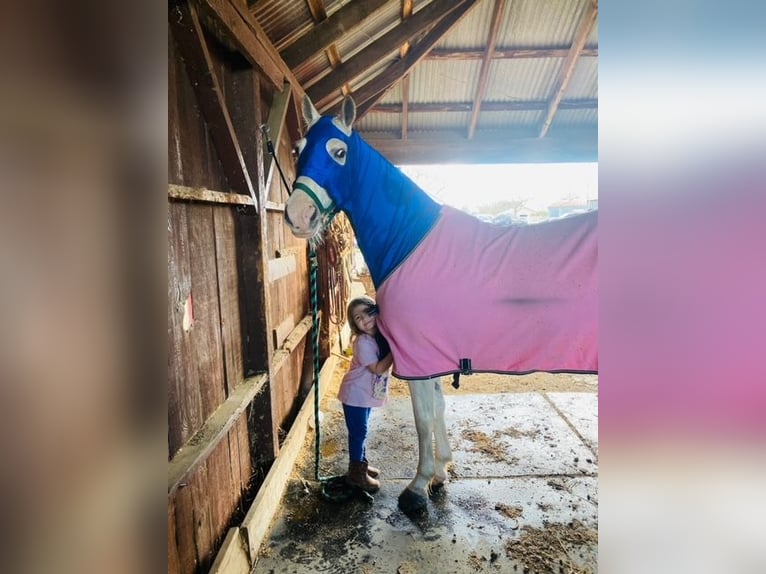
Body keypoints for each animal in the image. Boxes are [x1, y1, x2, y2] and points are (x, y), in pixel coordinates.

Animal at [285, 95, 597, 514]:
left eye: (339, 152)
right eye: (299, 149)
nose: (297, 215)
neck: (411, 243)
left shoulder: (419, 358)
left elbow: (423, 418)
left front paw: (417, 489)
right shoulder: (432, 358)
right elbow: (438, 410)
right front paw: (439, 474)